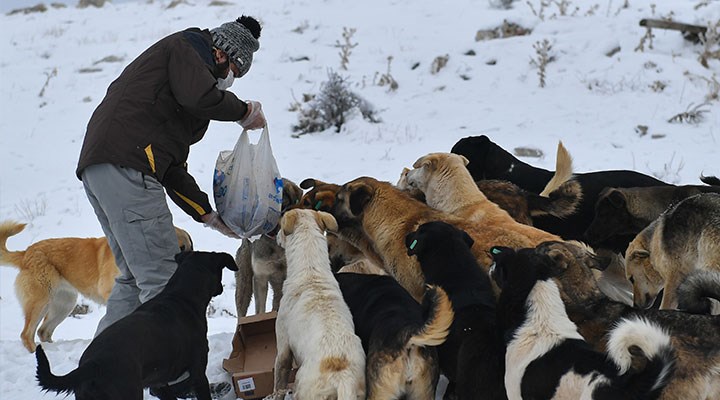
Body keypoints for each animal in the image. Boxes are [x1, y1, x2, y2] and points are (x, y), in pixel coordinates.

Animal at [0, 222, 193, 354]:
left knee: (43, 330)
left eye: (190, 247)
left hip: (64, 305)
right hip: (41, 302)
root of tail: (26, 253)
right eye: (180, 248)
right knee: (27, 334)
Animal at [35, 252, 236, 400]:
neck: (180, 295)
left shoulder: (158, 382)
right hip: (129, 393)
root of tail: (93, 364)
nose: (221, 288)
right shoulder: (198, 372)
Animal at [274, 209, 368, 400]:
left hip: (302, 387)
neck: (311, 271)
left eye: (281, 225)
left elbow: (279, 378)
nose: (274, 236)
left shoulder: (283, 347)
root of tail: (343, 379)